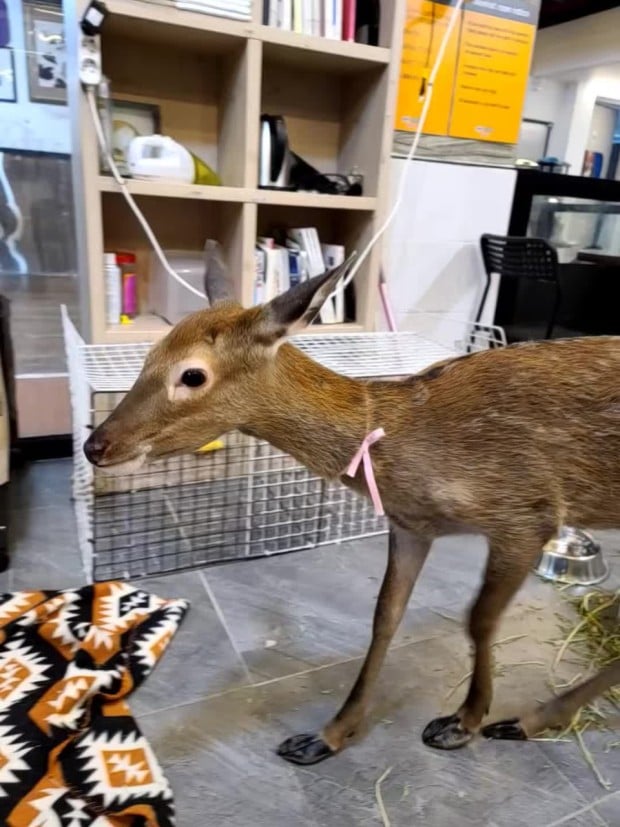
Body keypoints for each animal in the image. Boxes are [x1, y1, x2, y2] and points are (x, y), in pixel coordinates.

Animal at [85, 244, 620, 768]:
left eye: (192, 374)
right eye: (151, 353)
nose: (95, 445)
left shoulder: (527, 511)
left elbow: (479, 619)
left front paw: (462, 722)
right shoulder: (411, 525)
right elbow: (385, 616)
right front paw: (326, 735)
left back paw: (524, 720)